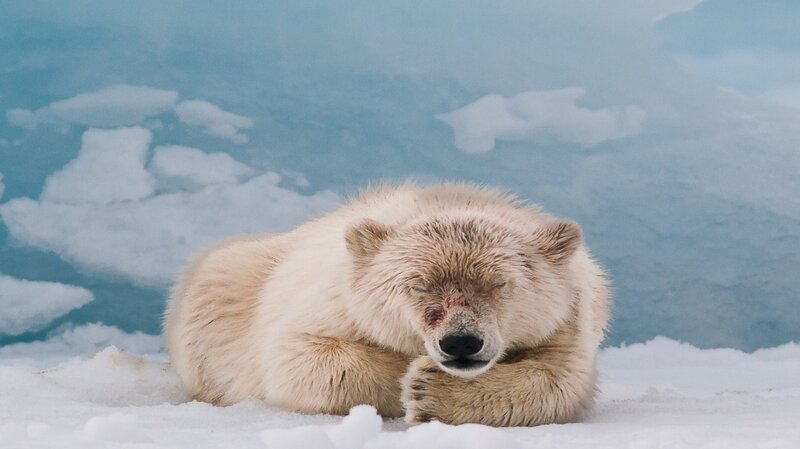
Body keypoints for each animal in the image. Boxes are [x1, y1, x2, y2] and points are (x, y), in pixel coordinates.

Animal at [163, 182, 610, 426]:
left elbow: (562, 379)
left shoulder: (568, 316)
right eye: (418, 285)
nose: (461, 342)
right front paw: (410, 378)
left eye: (499, 283)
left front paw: (431, 389)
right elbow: (302, 358)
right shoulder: (338, 301)